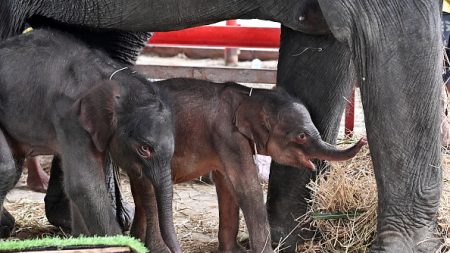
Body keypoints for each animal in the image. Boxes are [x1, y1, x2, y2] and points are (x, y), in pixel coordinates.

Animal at [135, 78, 368, 252]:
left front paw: (233, 251)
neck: (249, 94)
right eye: (302, 136)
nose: (363, 140)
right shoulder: (227, 136)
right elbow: (248, 187)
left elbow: (227, 185)